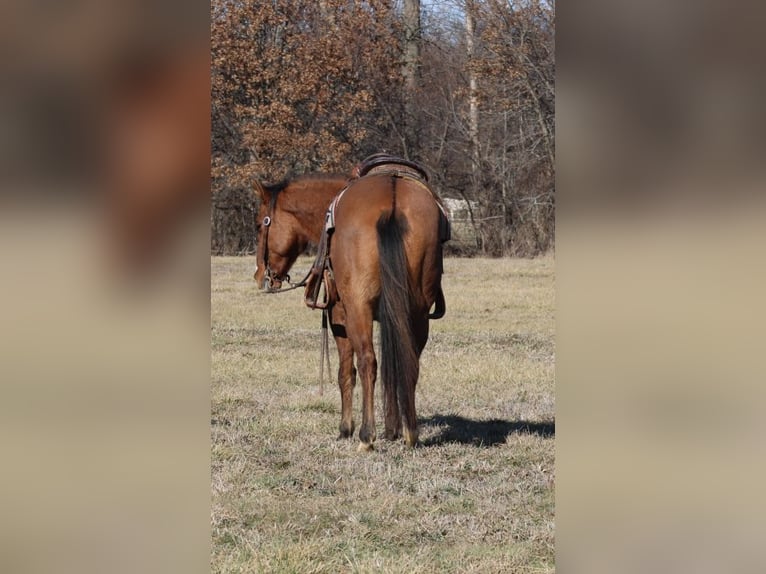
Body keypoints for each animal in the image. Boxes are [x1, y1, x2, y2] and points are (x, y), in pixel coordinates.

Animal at [254, 157, 448, 450]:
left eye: (259, 225)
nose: (260, 276)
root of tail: (392, 200)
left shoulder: (339, 315)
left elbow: (346, 371)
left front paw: (345, 428)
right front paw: (392, 429)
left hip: (358, 309)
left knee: (368, 361)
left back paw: (366, 436)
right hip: (418, 311)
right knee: (409, 361)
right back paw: (410, 433)